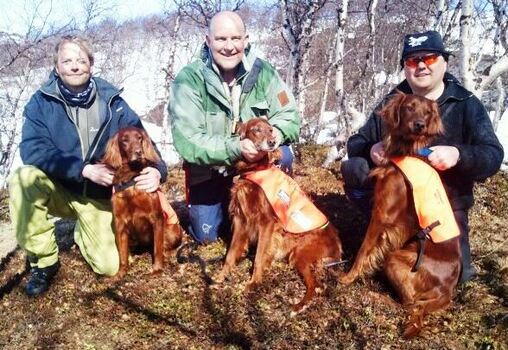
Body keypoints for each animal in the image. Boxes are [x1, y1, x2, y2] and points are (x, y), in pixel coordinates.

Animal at [102, 126, 183, 278]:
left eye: (139, 138)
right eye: (124, 140)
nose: (139, 152)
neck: (130, 179)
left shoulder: (156, 218)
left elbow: (157, 248)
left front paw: (157, 269)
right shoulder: (120, 223)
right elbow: (122, 254)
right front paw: (120, 274)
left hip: (171, 230)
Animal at [212, 117, 344, 314]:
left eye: (270, 130)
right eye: (256, 130)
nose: (272, 142)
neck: (256, 170)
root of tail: (337, 243)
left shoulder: (266, 222)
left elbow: (259, 257)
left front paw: (253, 283)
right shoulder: (241, 219)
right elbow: (230, 254)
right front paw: (221, 276)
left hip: (300, 254)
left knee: (315, 286)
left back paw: (298, 306)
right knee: (320, 285)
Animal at [340, 91, 462, 338]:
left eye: (427, 112)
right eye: (409, 107)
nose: (419, 125)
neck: (407, 152)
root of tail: (449, 289)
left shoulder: (382, 216)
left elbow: (364, 249)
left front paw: (348, 277)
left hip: (396, 259)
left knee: (409, 303)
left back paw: (377, 297)